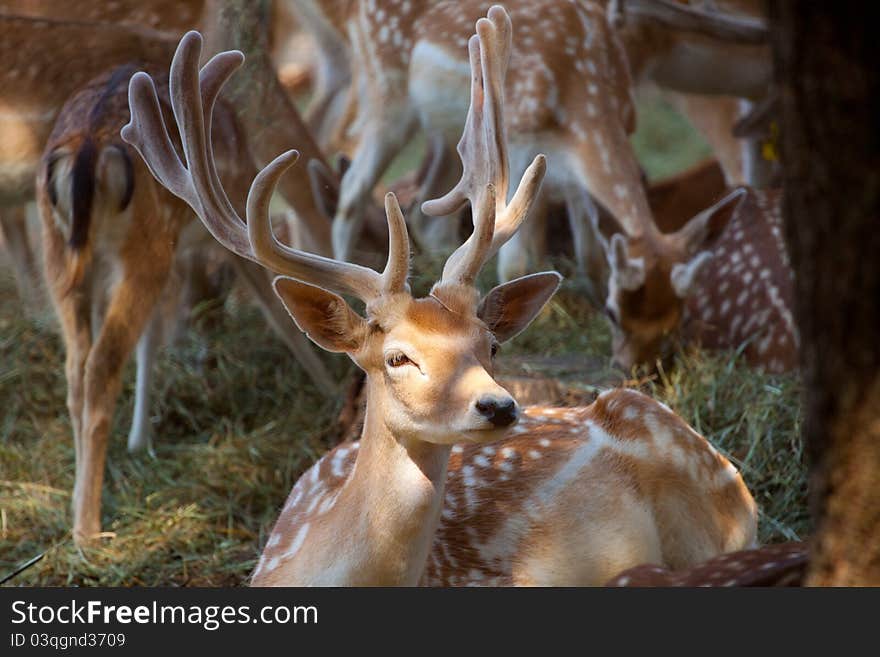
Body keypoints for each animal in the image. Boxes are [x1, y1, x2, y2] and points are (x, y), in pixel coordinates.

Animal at [36, 62, 336, 544]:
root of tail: (87, 148)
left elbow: (150, 340)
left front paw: (141, 438)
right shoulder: (235, 208)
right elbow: (277, 312)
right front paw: (330, 390)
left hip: (61, 252)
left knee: (77, 367)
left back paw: (79, 501)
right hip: (146, 241)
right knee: (101, 363)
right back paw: (88, 529)